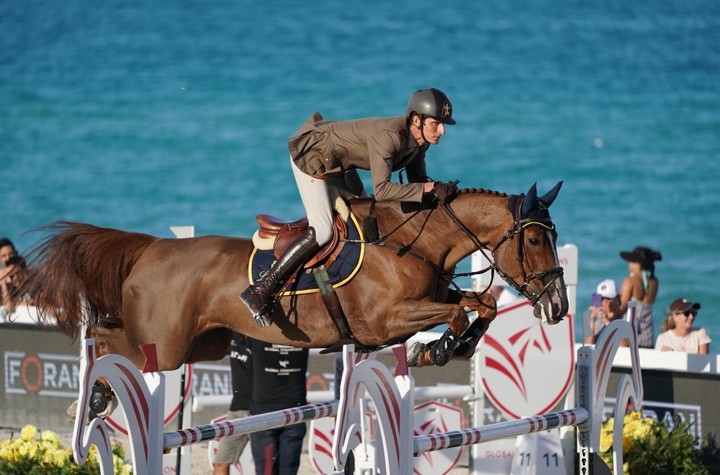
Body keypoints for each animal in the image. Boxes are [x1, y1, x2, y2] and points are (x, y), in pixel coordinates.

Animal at [21, 182, 568, 372]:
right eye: (535, 241)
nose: (559, 306)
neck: (415, 241)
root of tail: (151, 248)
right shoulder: (383, 321)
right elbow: (455, 313)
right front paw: (437, 348)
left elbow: (483, 305)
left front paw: (454, 347)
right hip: (165, 344)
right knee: (106, 336)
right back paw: (90, 397)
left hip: (206, 344)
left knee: (112, 336)